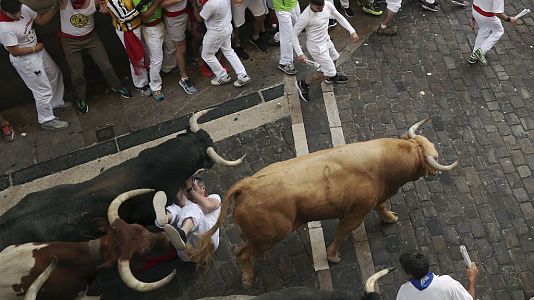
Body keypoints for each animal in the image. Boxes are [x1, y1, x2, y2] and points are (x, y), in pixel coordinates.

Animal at [188, 116, 460, 286]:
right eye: (434, 156)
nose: (436, 163)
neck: (383, 163)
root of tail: (247, 183)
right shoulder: (354, 213)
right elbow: (342, 232)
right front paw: (332, 256)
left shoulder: (374, 200)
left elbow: (381, 207)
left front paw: (390, 218)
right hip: (271, 234)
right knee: (241, 252)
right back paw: (247, 278)